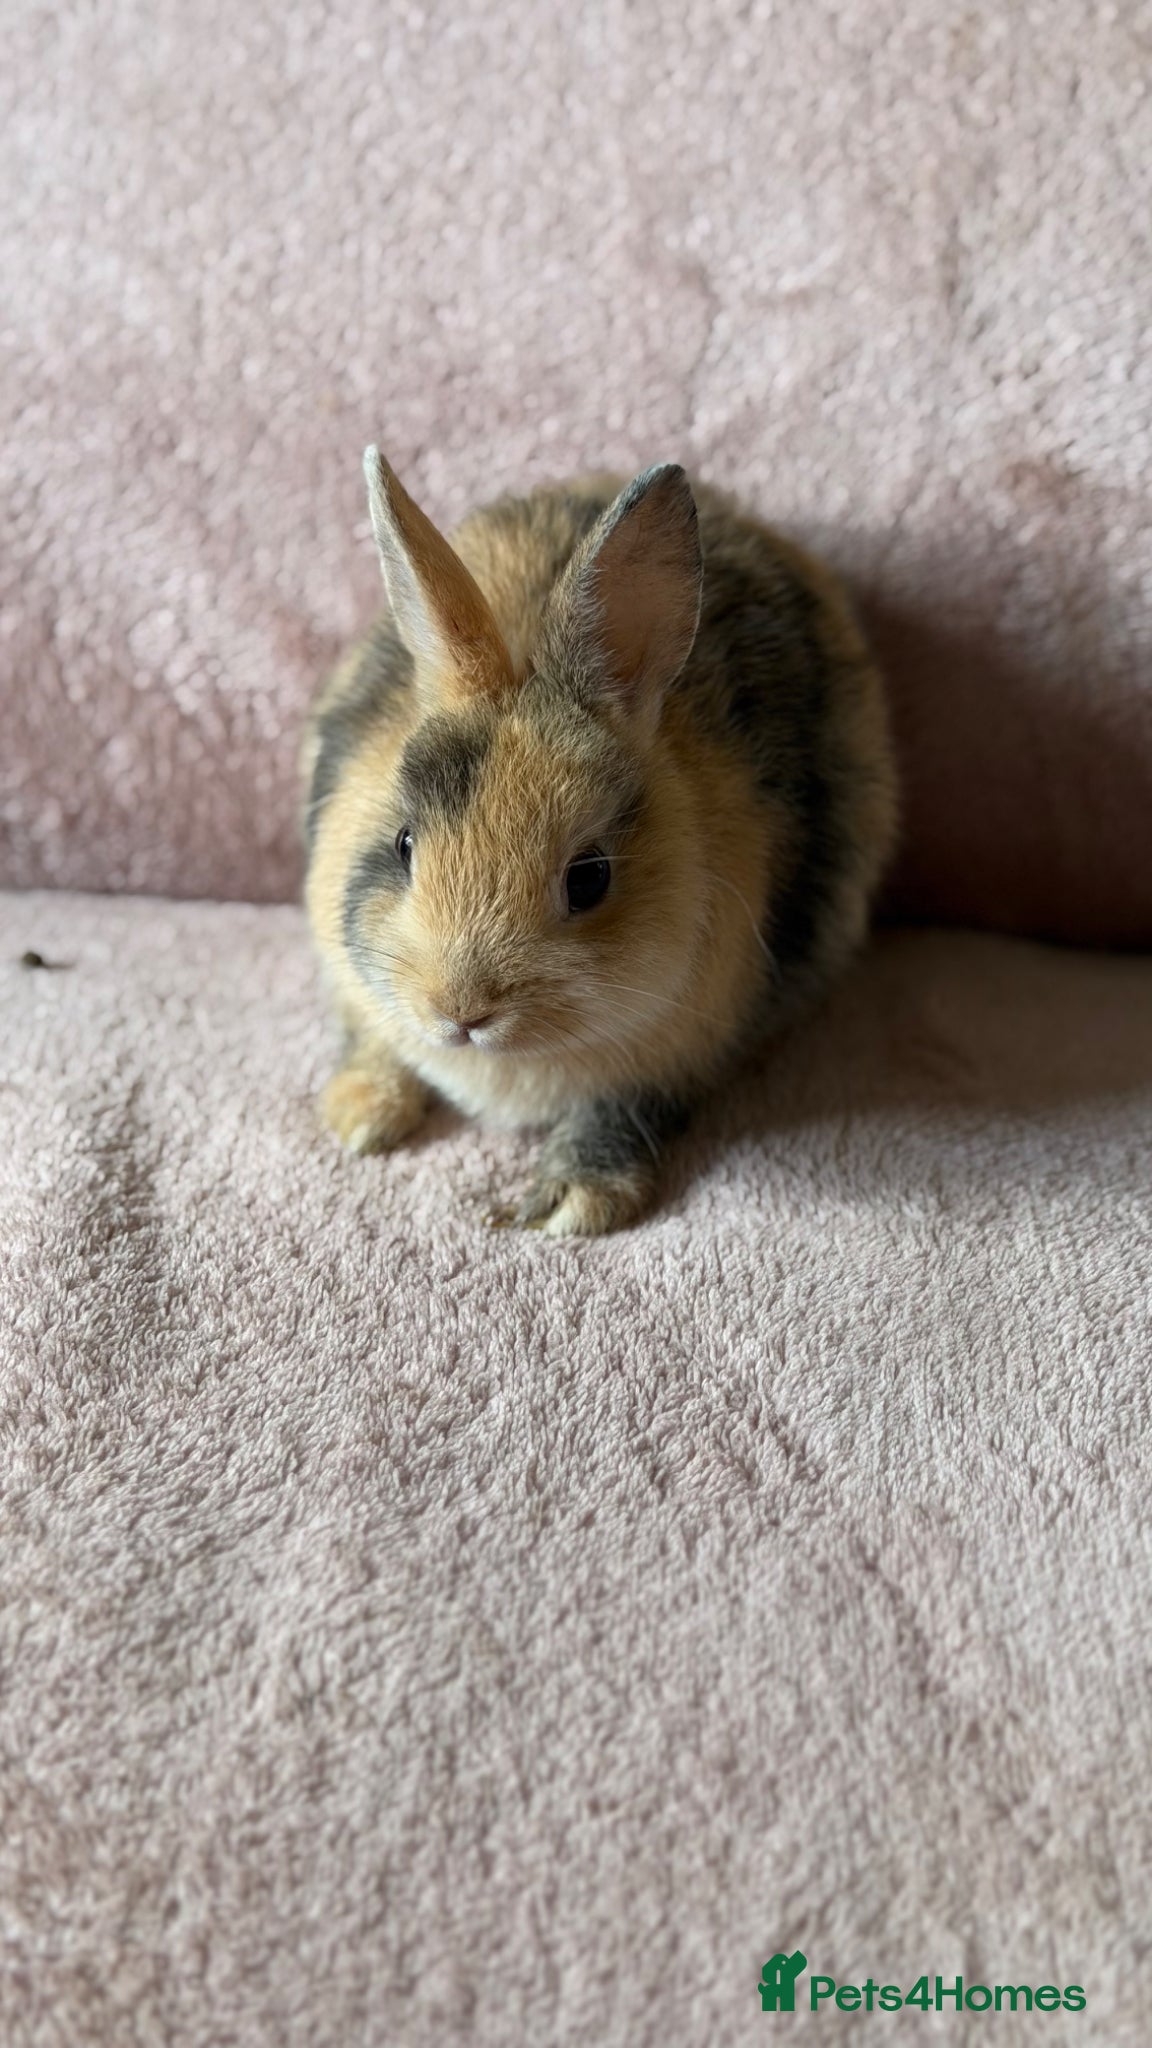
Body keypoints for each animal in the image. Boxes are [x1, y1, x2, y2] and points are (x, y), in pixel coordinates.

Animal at [301, 450, 898, 1236]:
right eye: (403, 844)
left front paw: (572, 1203)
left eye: (590, 877)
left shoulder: (671, 1058)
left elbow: (621, 1111)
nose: (459, 1011)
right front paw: (360, 1119)